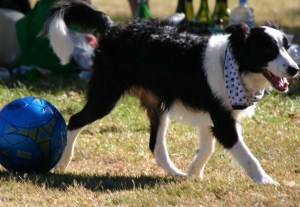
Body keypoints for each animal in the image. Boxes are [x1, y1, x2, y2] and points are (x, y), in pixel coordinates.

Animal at [43, 0, 298, 184]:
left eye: (286, 48)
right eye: (268, 50)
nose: (294, 69)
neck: (234, 64)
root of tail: (113, 28)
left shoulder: (211, 116)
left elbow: (207, 148)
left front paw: (194, 172)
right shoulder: (223, 122)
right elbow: (247, 157)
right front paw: (266, 182)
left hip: (158, 105)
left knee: (155, 145)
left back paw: (176, 173)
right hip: (105, 97)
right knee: (74, 120)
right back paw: (62, 163)